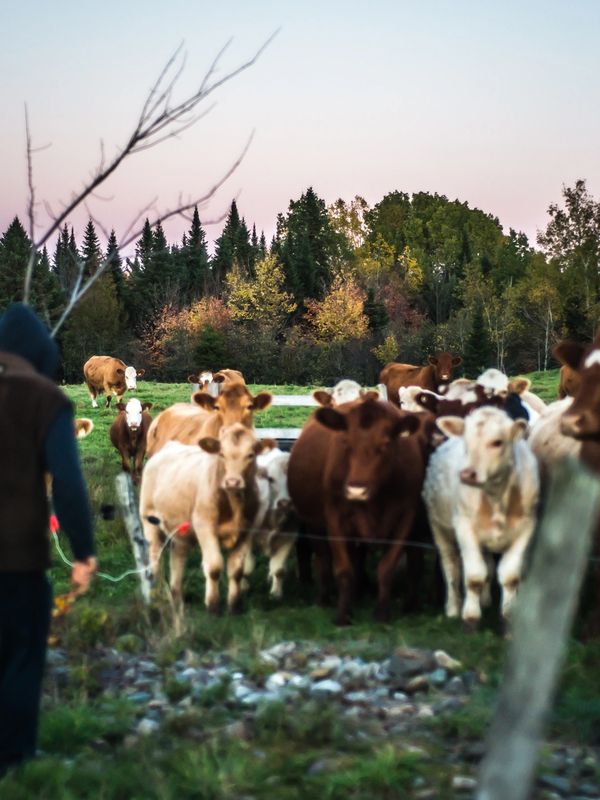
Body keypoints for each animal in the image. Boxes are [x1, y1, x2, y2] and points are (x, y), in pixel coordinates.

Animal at [422, 410, 540, 628]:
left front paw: (508, 615)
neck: (496, 496)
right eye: (466, 442)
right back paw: (453, 608)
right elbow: (474, 576)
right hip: (439, 528)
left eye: (497, 442)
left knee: (488, 566)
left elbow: (509, 576)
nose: (467, 473)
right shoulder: (464, 528)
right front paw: (470, 617)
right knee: (451, 567)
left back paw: (484, 600)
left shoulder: (527, 528)